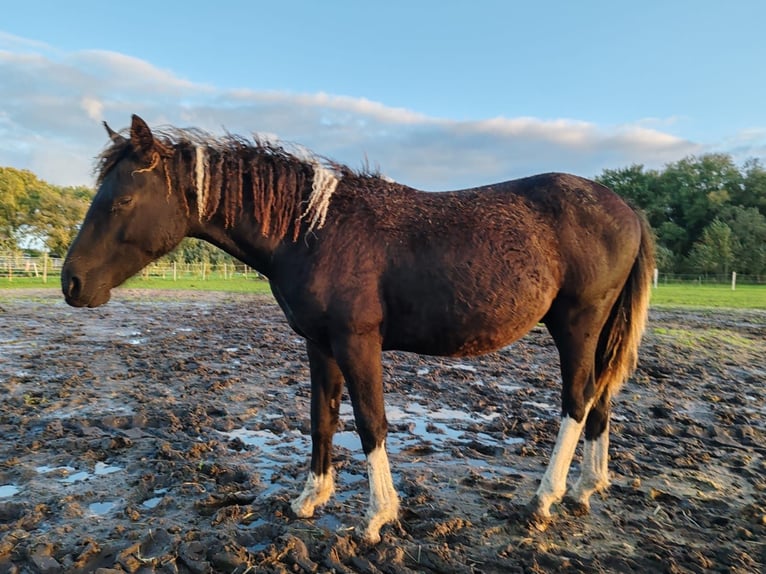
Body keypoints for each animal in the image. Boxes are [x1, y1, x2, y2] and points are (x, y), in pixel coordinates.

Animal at [62, 114, 654, 543]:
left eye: (122, 199)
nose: (71, 283)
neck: (314, 230)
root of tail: (627, 208)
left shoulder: (357, 342)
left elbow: (371, 423)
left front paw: (377, 517)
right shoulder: (320, 344)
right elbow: (321, 418)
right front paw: (310, 498)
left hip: (577, 323)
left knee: (577, 399)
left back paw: (544, 498)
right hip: (596, 329)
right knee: (600, 398)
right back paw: (585, 488)